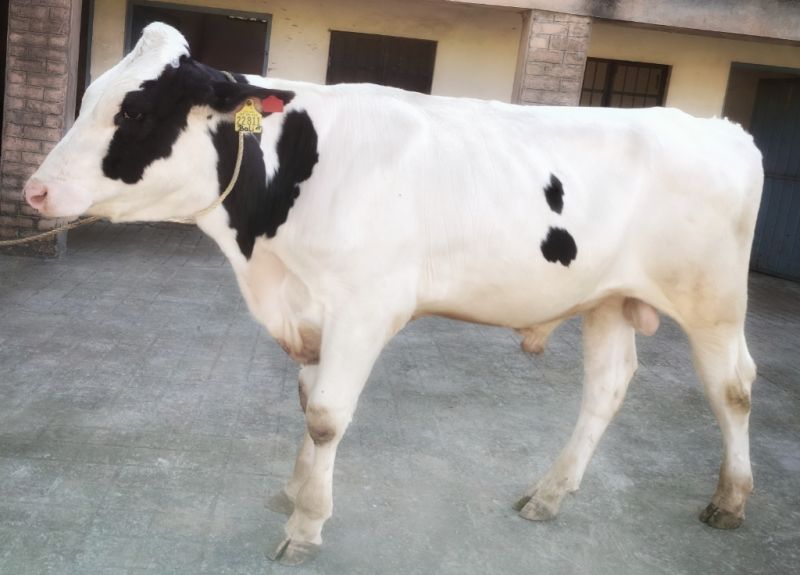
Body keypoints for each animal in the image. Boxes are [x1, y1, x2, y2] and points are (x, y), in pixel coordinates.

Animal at [23, 23, 763, 565]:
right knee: (607, 387)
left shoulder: (363, 307)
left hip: (714, 301)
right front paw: (295, 489)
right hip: (608, 298)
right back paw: (549, 494)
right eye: (90, 95)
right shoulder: (311, 308)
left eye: (135, 109)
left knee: (733, 387)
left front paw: (306, 525)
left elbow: (326, 415)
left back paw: (731, 500)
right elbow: (305, 404)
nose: (34, 189)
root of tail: (721, 128)